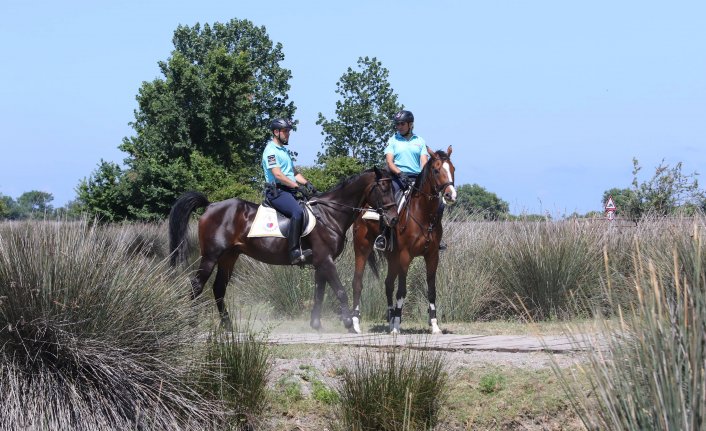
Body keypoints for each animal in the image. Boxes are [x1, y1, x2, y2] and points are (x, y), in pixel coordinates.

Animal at [169, 167, 396, 332]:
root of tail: (210, 206)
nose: (393, 218)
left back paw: (228, 326)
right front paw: (349, 324)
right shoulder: (326, 260)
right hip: (210, 256)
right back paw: (191, 324)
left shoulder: (320, 263)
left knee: (218, 288)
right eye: (384, 188)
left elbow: (319, 293)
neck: (329, 214)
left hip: (229, 257)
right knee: (197, 286)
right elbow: (340, 291)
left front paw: (316, 324)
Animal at [350, 147, 456, 336]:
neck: (423, 214)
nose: (450, 195)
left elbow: (431, 290)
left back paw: (390, 318)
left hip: (392, 257)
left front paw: (435, 325)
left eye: (453, 169)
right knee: (358, 282)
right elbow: (402, 291)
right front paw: (397, 326)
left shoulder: (432, 256)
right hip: (362, 248)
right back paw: (356, 323)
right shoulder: (405, 256)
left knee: (388, 284)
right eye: (436, 170)